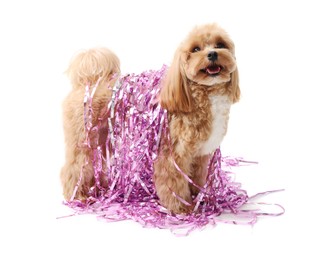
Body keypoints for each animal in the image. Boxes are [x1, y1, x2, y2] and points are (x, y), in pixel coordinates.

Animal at [61, 22, 241, 213]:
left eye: (220, 44)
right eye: (196, 49)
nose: (212, 54)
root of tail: (89, 81)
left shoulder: (199, 156)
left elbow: (196, 179)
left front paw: (199, 199)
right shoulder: (173, 154)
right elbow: (174, 184)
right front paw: (181, 207)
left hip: (101, 139)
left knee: (95, 166)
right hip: (83, 140)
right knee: (74, 168)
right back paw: (77, 195)